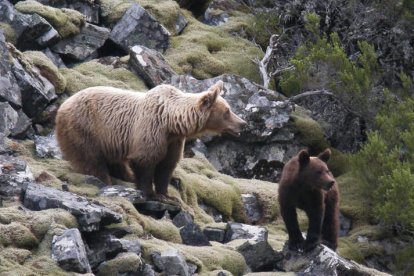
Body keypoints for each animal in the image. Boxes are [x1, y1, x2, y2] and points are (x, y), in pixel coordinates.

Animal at [55, 80, 246, 201]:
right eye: (227, 111)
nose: (242, 123)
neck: (172, 122)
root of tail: (62, 106)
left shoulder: (173, 141)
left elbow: (166, 166)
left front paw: (166, 194)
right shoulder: (151, 130)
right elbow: (145, 160)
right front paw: (150, 193)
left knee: (115, 161)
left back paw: (126, 176)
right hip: (85, 128)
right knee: (91, 160)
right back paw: (105, 180)